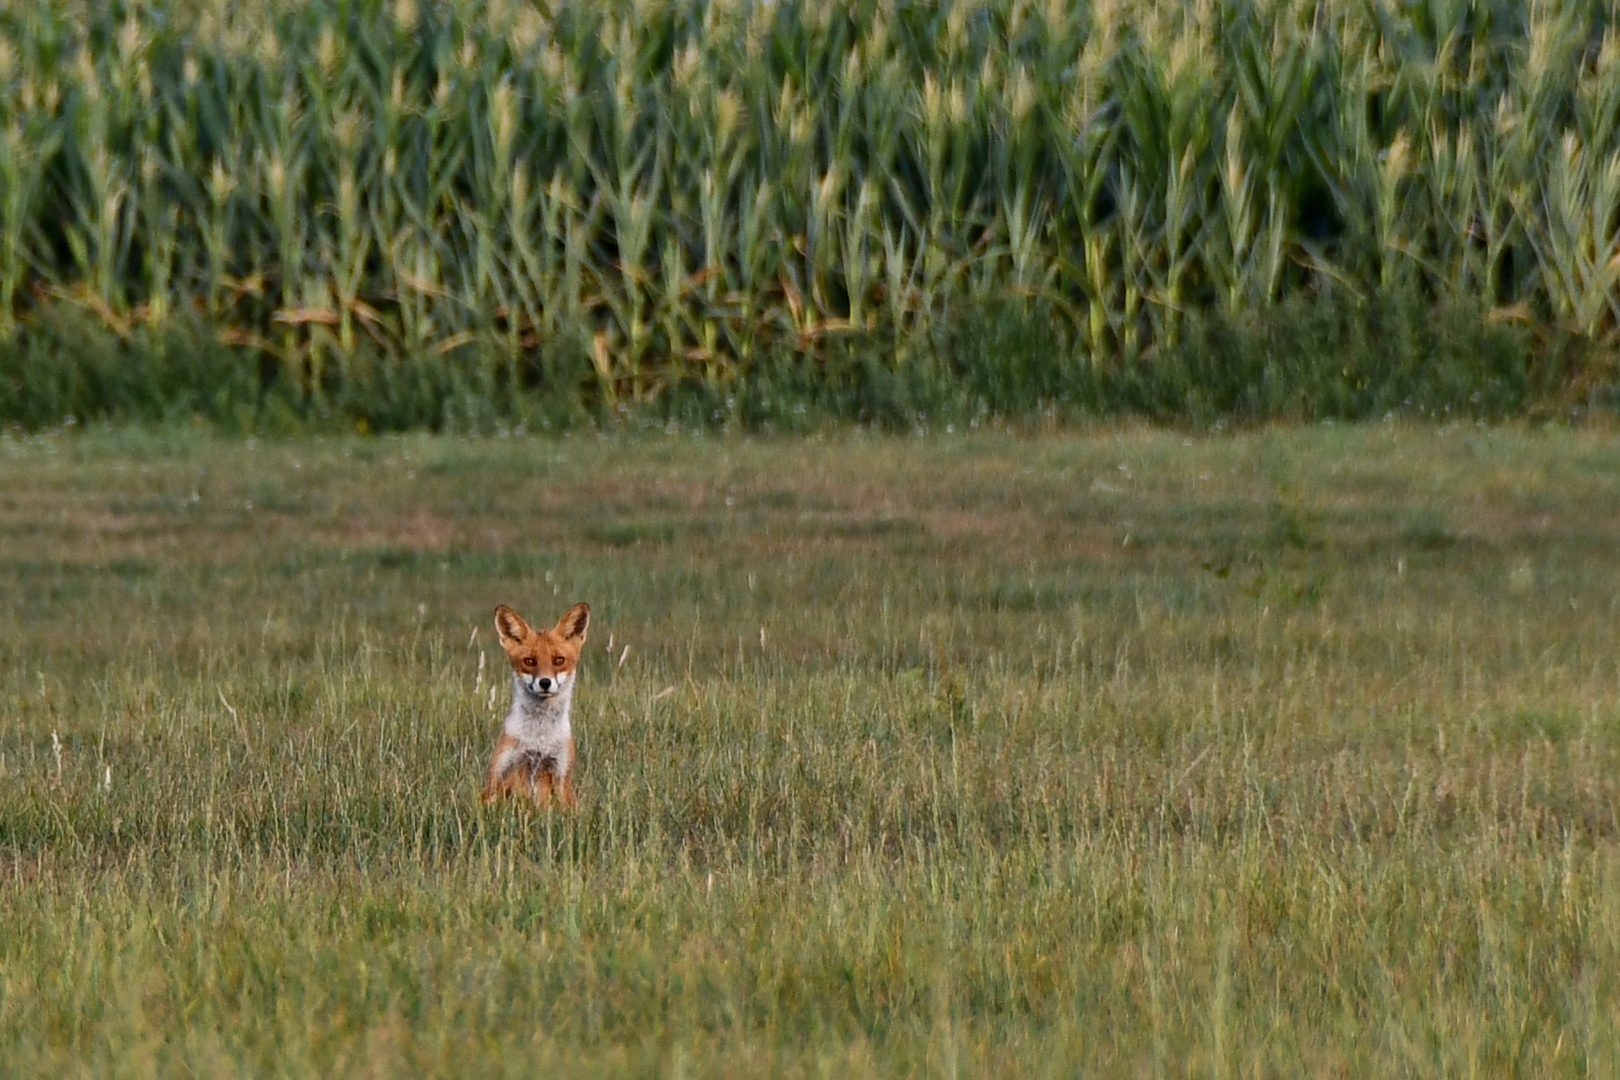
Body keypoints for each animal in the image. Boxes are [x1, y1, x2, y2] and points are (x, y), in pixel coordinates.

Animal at [476, 599, 592, 809]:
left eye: (559, 660)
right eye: (529, 661)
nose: (545, 682)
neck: (538, 737)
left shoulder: (560, 775)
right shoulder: (501, 774)